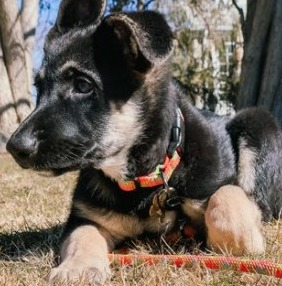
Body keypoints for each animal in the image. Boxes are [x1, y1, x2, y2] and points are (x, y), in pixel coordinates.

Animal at [5, 0, 280, 282]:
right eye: (39, 88)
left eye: (82, 85)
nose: (15, 148)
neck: (144, 178)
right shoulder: (86, 216)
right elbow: (83, 235)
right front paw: (78, 268)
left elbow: (227, 200)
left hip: (256, 122)